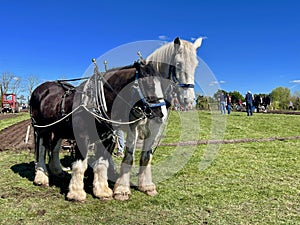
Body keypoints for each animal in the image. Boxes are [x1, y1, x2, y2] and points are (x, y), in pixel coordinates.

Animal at [30, 60, 165, 201]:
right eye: (149, 84)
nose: (160, 113)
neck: (98, 103)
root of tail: (41, 88)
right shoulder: (82, 137)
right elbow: (80, 165)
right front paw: (76, 193)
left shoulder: (108, 138)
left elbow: (102, 163)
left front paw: (102, 191)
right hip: (40, 128)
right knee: (41, 149)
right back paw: (41, 177)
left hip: (58, 129)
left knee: (54, 147)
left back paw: (57, 170)